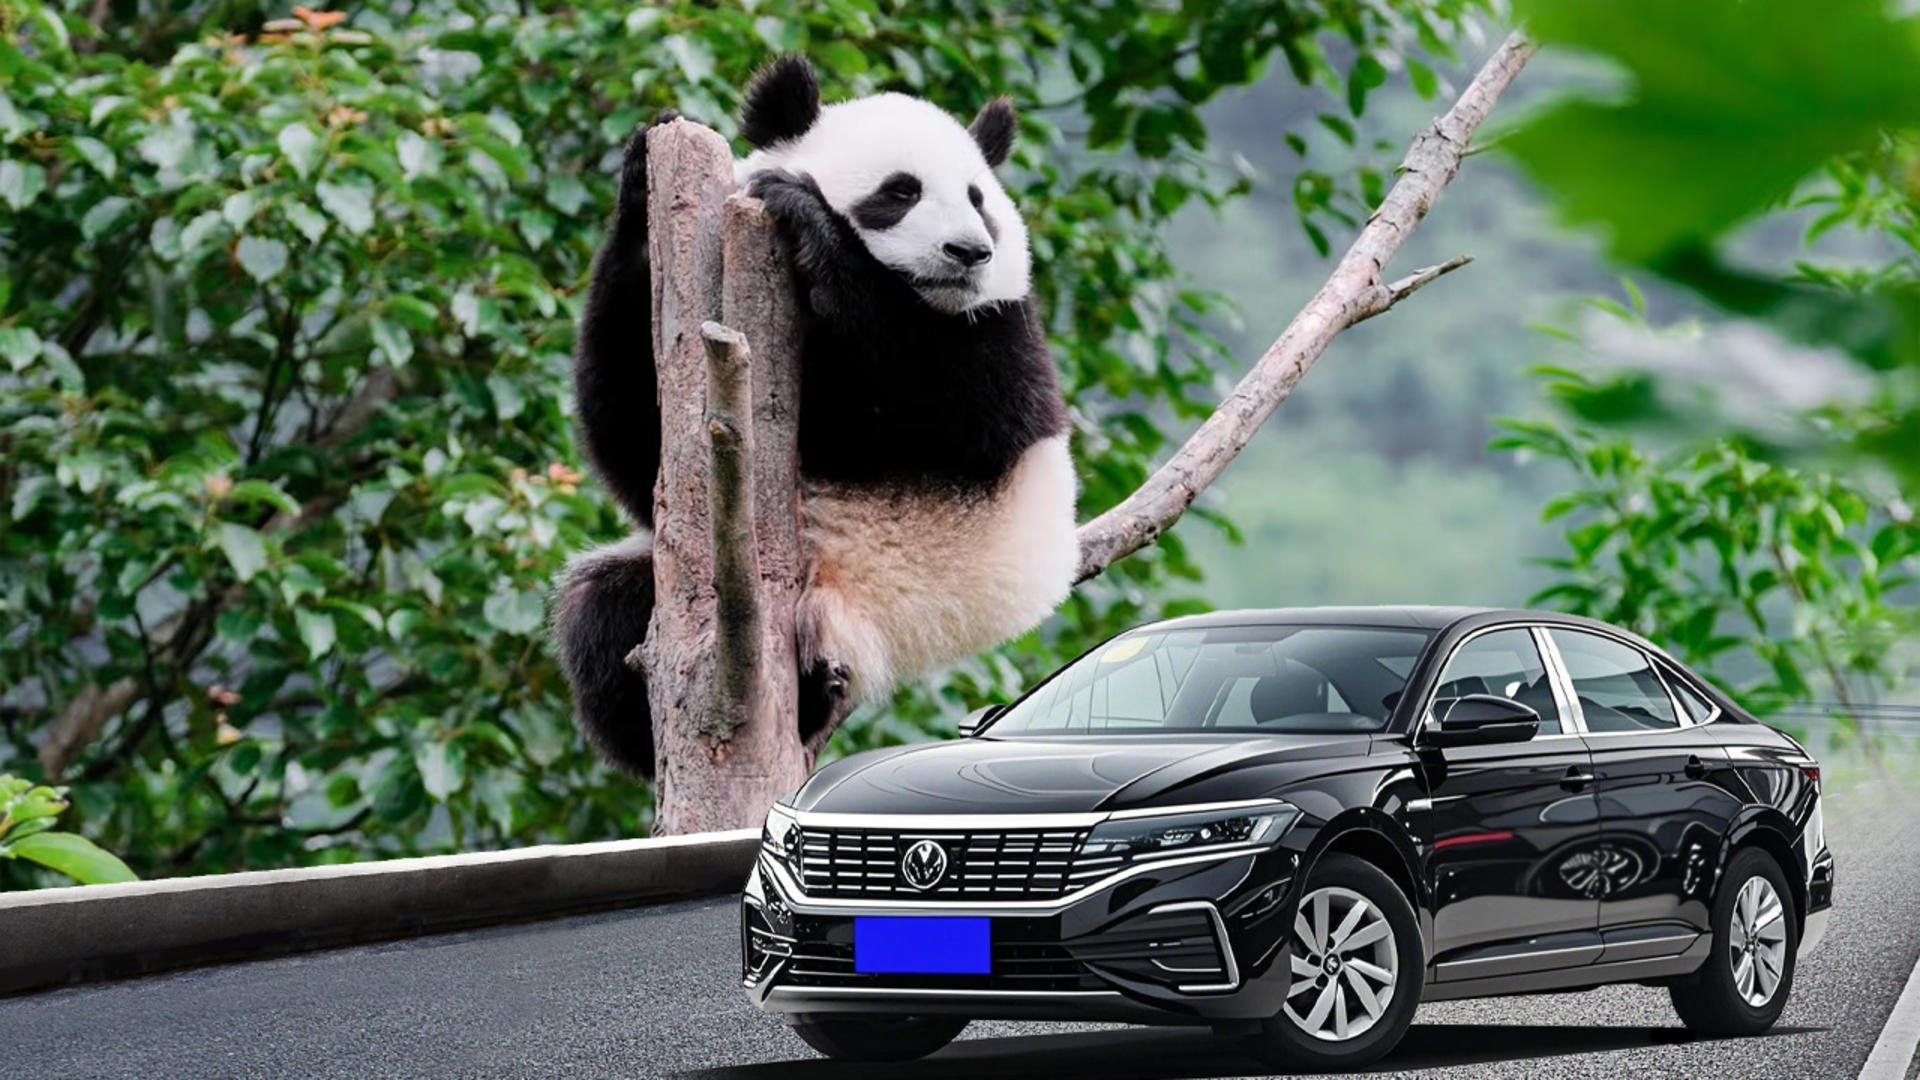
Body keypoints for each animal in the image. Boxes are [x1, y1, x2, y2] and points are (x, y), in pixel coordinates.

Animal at [554, 57, 1078, 776]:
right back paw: (642, 726)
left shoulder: (1003, 331)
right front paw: (643, 169)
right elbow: (636, 441)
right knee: (600, 611)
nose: (969, 251)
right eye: (900, 192)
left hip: (900, 603)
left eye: (978, 200)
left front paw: (809, 215)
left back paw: (810, 690)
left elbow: (962, 405)